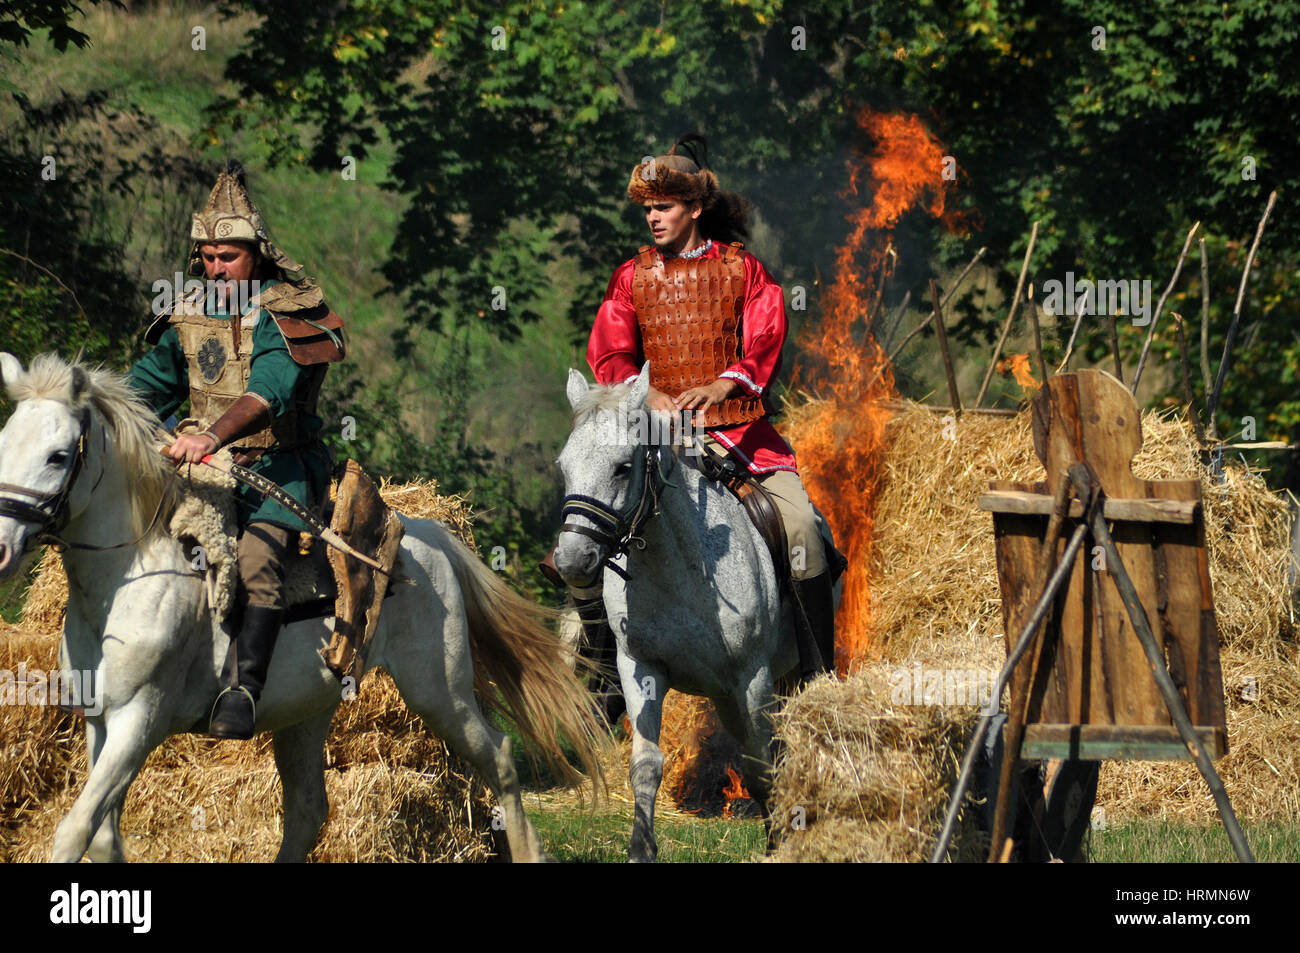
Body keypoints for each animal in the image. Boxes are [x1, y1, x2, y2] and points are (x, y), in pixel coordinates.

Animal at [0, 356, 603, 863]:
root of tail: (426, 530)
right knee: (309, 810)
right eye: (5, 443)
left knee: (497, 758)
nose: (3, 550)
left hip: (441, 691)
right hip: (307, 710)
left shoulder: (139, 721)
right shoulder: (100, 721)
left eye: (58, 456)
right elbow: (103, 836)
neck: (128, 581)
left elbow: (75, 830)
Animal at [553, 366, 837, 863]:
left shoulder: (751, 678)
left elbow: (760, 767)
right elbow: (647, 765)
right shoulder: (641, 669)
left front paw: (777, 842)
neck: (678, 568)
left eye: (622, 466)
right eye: (565, 466)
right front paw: (641, 849)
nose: (571, 560)